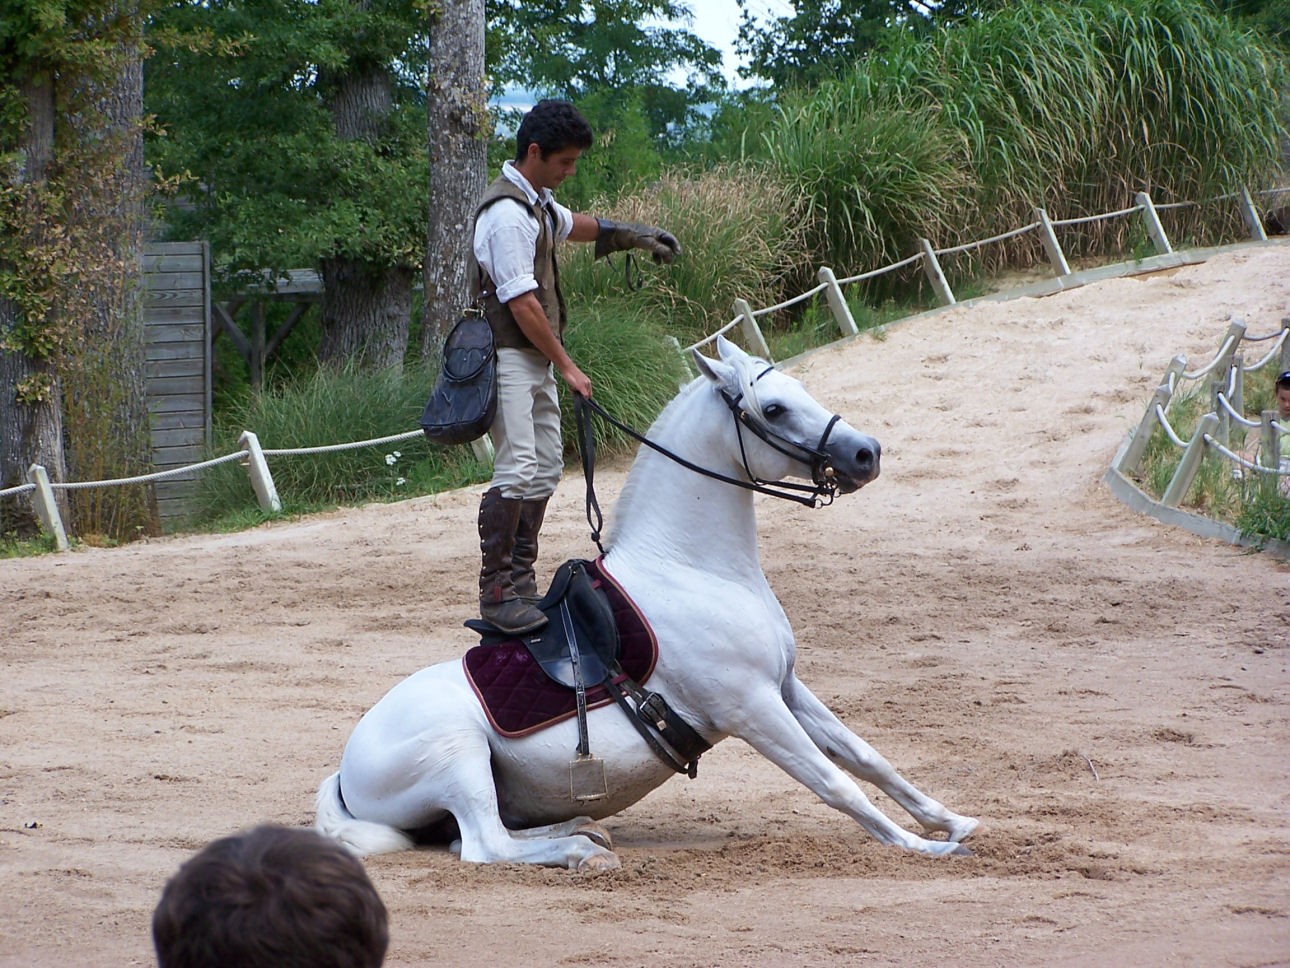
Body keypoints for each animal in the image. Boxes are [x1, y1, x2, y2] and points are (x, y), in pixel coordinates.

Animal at [319, 335, 975, 872]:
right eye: (773, 409)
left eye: (800, 390)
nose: (867, 453)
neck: (691, 570)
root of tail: (345, 772)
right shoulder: (752, 708)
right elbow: (837, 784)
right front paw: (922, 847)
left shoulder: (786, 687)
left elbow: (867, 759)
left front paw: (952, 821)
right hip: (459, 755)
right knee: (483, 846)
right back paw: (581, 850)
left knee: (480, 837)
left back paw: (581, 827)